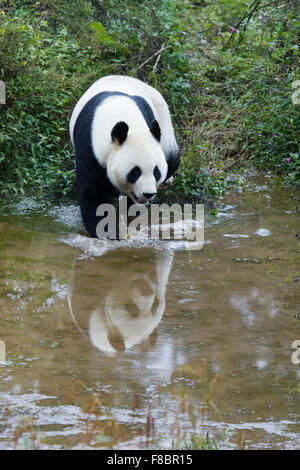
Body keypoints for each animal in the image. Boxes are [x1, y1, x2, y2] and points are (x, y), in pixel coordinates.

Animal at [69, 77, 179, 241]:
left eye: (156, 171)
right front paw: (108, 231)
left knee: (172, 158)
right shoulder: (88, 145)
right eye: (135, 172)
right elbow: (93, 192)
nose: (148, 194)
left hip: (163, 122)